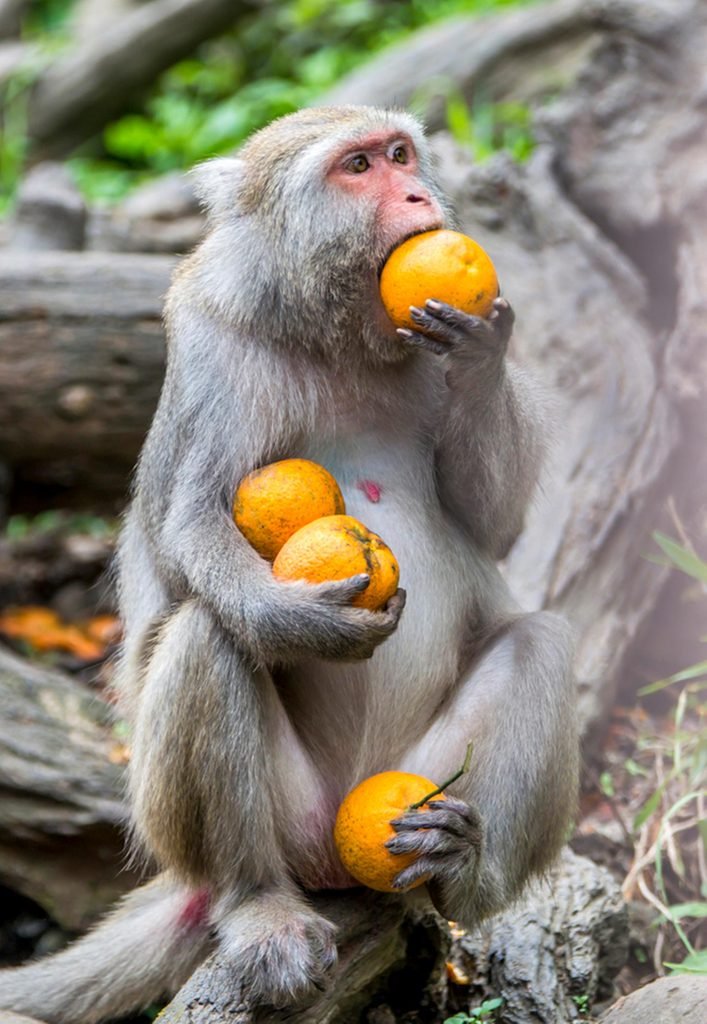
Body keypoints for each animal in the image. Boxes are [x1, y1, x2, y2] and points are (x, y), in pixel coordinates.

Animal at [0, 105, 578, 1023]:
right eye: (357, 168)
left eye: (401, 155)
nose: (416, 196)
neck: (334, 331)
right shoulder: (212, 346)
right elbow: (192, 524)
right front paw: (298, 620)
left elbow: (493, 522)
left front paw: (481, 353)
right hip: (271, 823)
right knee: (207, 634)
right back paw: (255, 904)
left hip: (413, 778)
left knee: (540, 645)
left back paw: (462, 874)